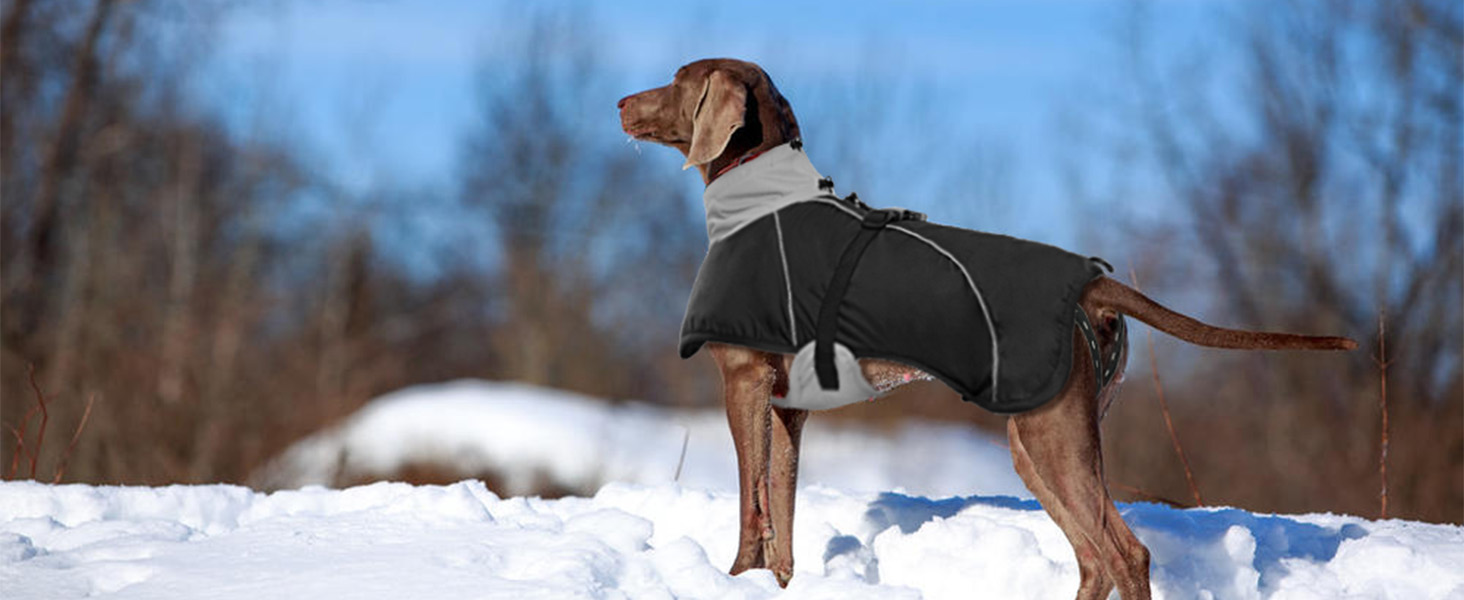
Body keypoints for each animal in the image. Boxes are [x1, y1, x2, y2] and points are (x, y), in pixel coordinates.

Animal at [614, 57, 1346, 600]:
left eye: (678, 80)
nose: (619, 102)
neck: (762, 198)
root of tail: (1091, 283)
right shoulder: (787, 407)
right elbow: (782, 514)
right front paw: (775, 584)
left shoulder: (741, 383)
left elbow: (750, 505)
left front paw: (732, 579)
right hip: (1046, 439)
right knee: (1094, 558)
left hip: (1049, 432)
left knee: (1126, 554)